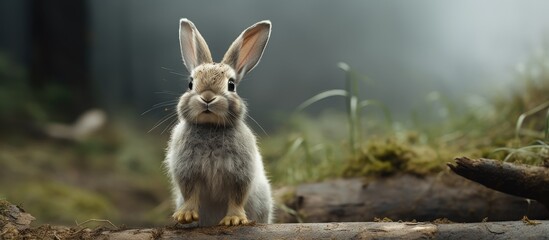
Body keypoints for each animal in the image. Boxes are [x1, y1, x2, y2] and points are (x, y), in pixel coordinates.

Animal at [164, 19, 272, 227]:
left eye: (231, 85)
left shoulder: (240, 174)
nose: (207, 97)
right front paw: (185, 216)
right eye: (190, 83)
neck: (210, 127)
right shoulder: (187, 170)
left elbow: (237, 197)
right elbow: (190, 194)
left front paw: (234, 219)